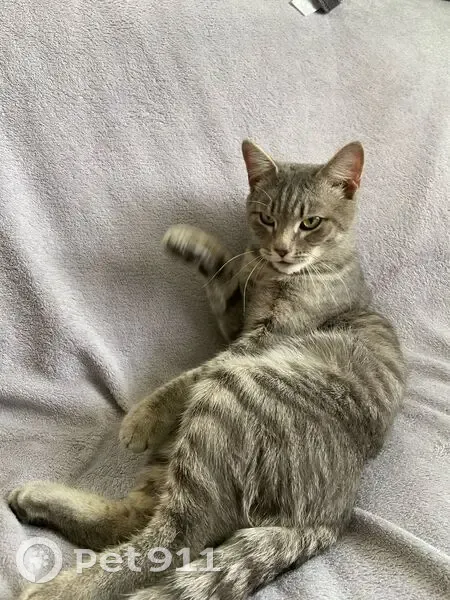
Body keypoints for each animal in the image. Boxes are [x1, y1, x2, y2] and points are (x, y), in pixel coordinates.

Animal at [9, 140, 405, 600]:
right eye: (266, 218)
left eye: (310, 223)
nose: (281, 249)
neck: (279, 276)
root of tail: (330, 516)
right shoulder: (238, 324)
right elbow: (223, 283)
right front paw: (197, 244)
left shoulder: (258, 341)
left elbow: (188, 376)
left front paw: (142, 417)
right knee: (133, 519)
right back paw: (37, 499)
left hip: (225, 401)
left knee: (171, 541)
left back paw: (60, 588)